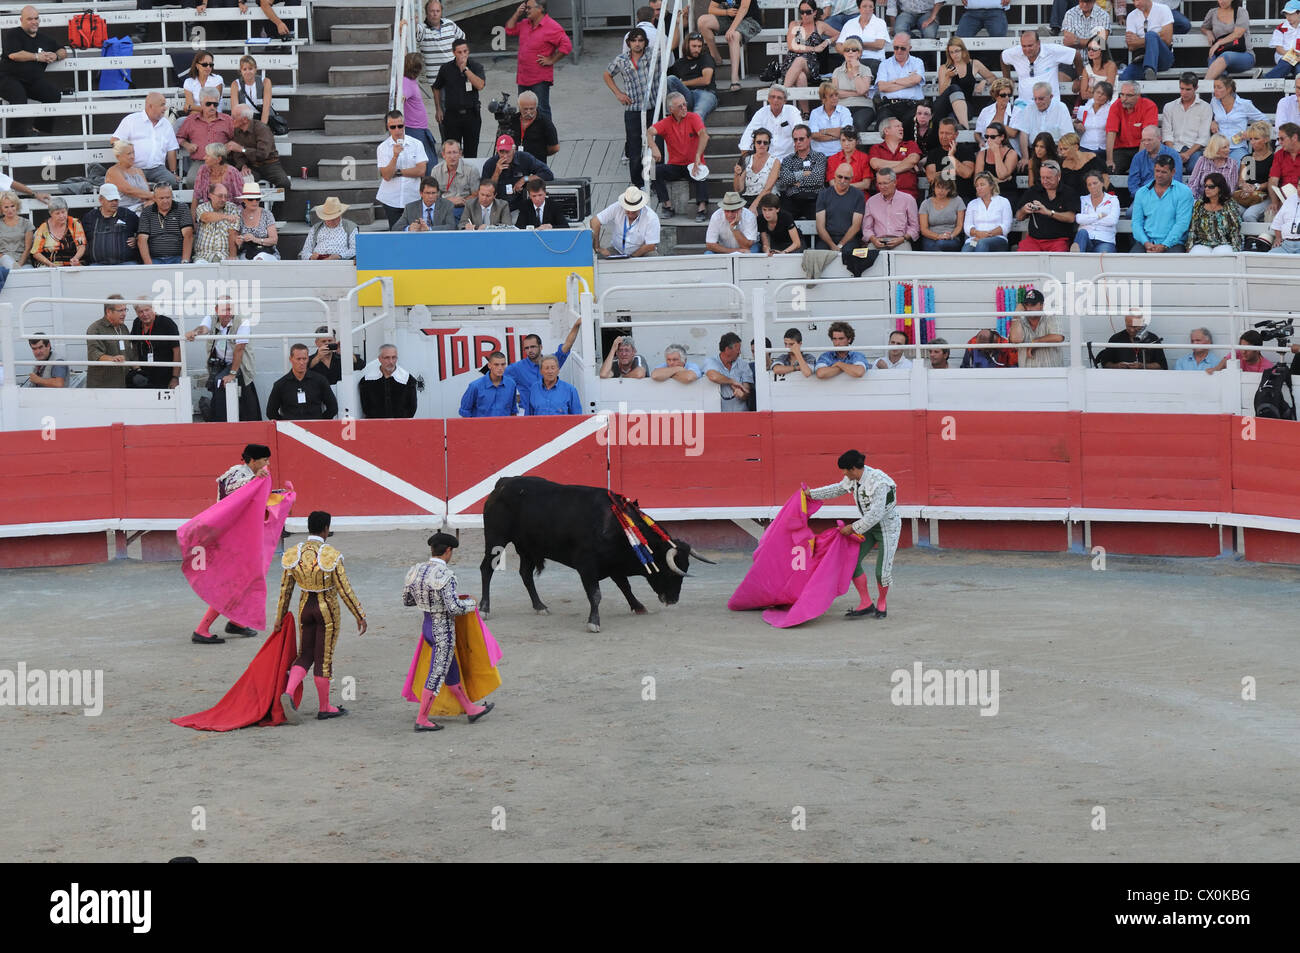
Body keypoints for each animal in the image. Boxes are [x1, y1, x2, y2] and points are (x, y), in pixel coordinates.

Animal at [478, 475, 712, 631]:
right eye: (671, 572)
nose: (673, 599)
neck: (616, 527)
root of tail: (503, 483)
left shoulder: (614, 564)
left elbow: (625, 586)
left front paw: (638, 607)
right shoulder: (587, 566)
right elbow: (596, 594)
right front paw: (593, 622)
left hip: (527, 547)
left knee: (525, 574)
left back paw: (540, 606)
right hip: (496, 540)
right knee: (486, 569)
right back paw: (484, 609)